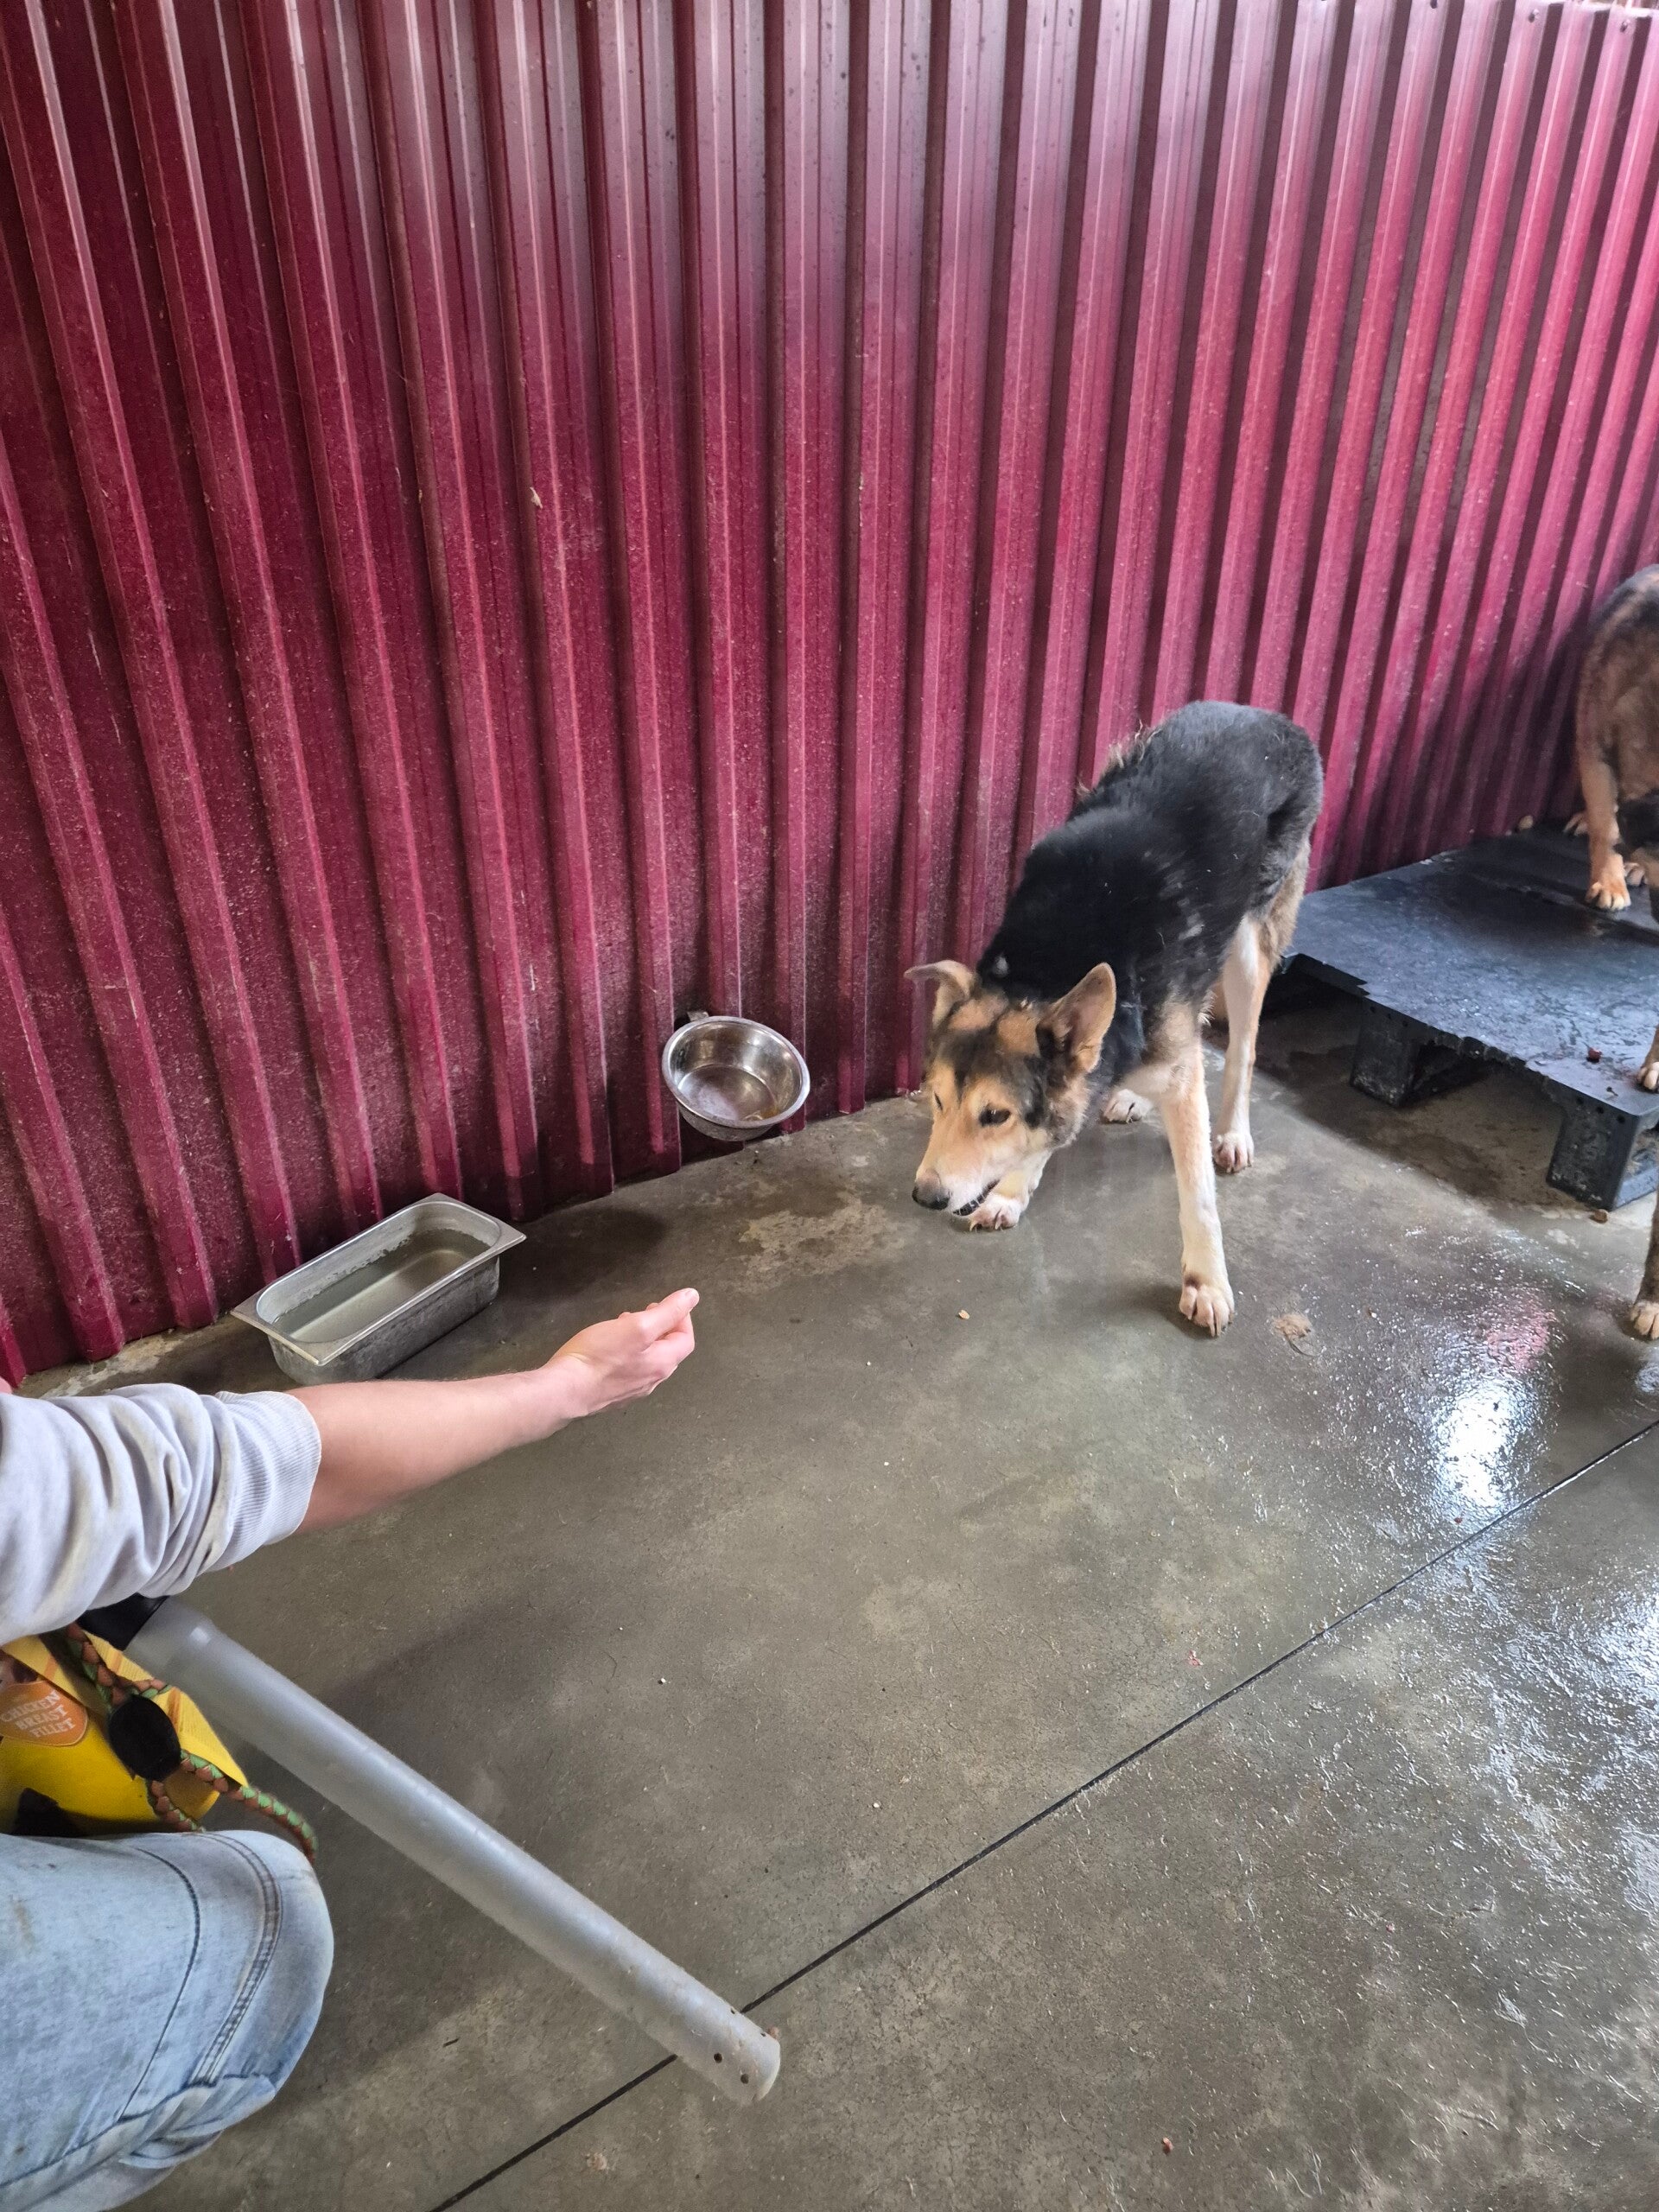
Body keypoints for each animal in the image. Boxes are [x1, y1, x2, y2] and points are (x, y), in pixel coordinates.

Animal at [907, 701, 1323, 1335]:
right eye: (936, 1100)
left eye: (995, 1115)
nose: (925, 1197)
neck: (1045, 969)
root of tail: (1273, 718)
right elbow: (1064, 1114)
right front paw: (1012, 1189)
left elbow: (1197, 1193)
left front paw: (1206, 1279)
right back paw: (1131, 1096)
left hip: (1252, 943)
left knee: (1242, 1046)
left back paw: (1231, 1131)